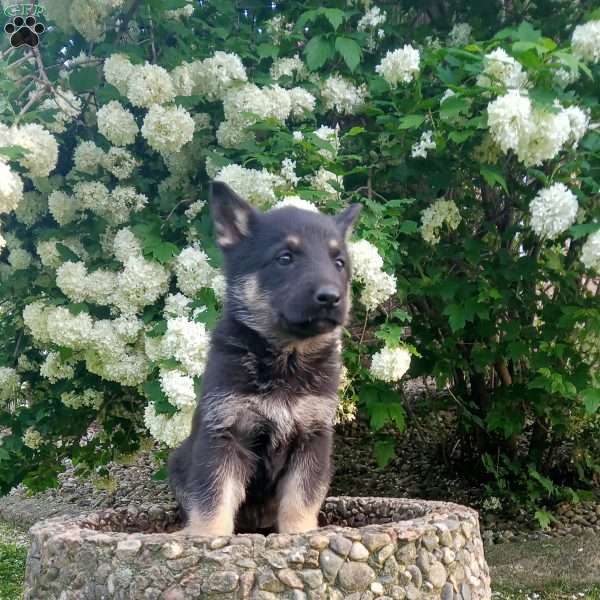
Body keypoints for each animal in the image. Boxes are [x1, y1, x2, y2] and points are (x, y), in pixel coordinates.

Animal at [169, 182, 358, 536]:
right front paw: (208, 537)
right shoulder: (223, 435)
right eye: (285, 258)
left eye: (339, 262)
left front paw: (300, 533)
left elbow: (301, 498)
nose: (331, 298)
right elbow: (213, 498)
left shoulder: (312, 439)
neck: (285, 359)